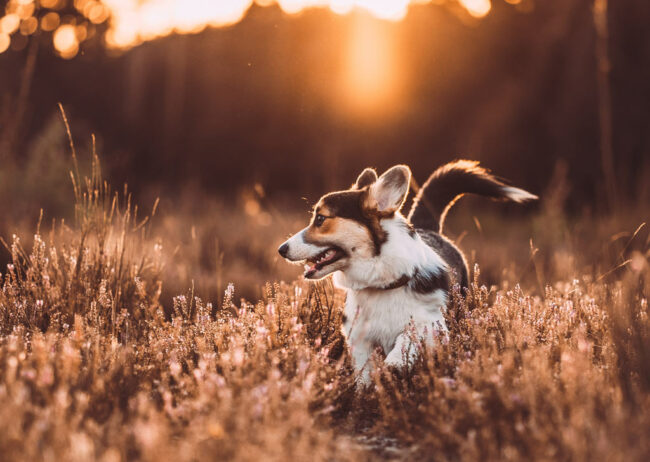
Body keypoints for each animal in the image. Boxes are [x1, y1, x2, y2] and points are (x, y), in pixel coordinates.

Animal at [276, 161, 536, 384]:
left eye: (320, 219)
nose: (281, 249)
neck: (382, 283)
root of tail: (431, 229)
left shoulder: (431, 324)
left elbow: (405, 340)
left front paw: (394, 366)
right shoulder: (359, 337)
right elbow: (364, 374)